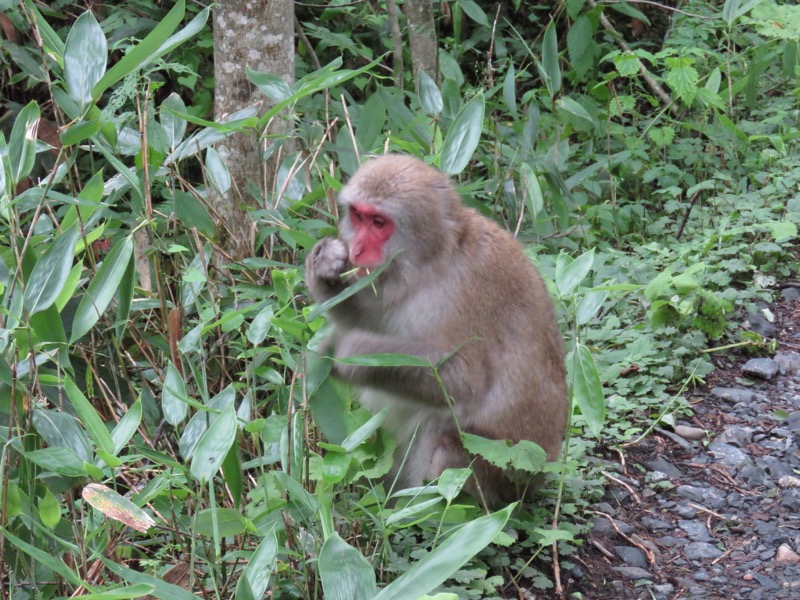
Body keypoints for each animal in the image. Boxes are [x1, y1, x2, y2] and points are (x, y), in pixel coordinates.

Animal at [306, 152, 568, 504]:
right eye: (359, 217)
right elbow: (375, 317)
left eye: (379, 223)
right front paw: (324, 266)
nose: (357, 250)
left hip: (508, 475)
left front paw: (354, 354)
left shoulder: (464, 294)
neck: (434, 260)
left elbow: (464, 381)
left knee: (443, 443)